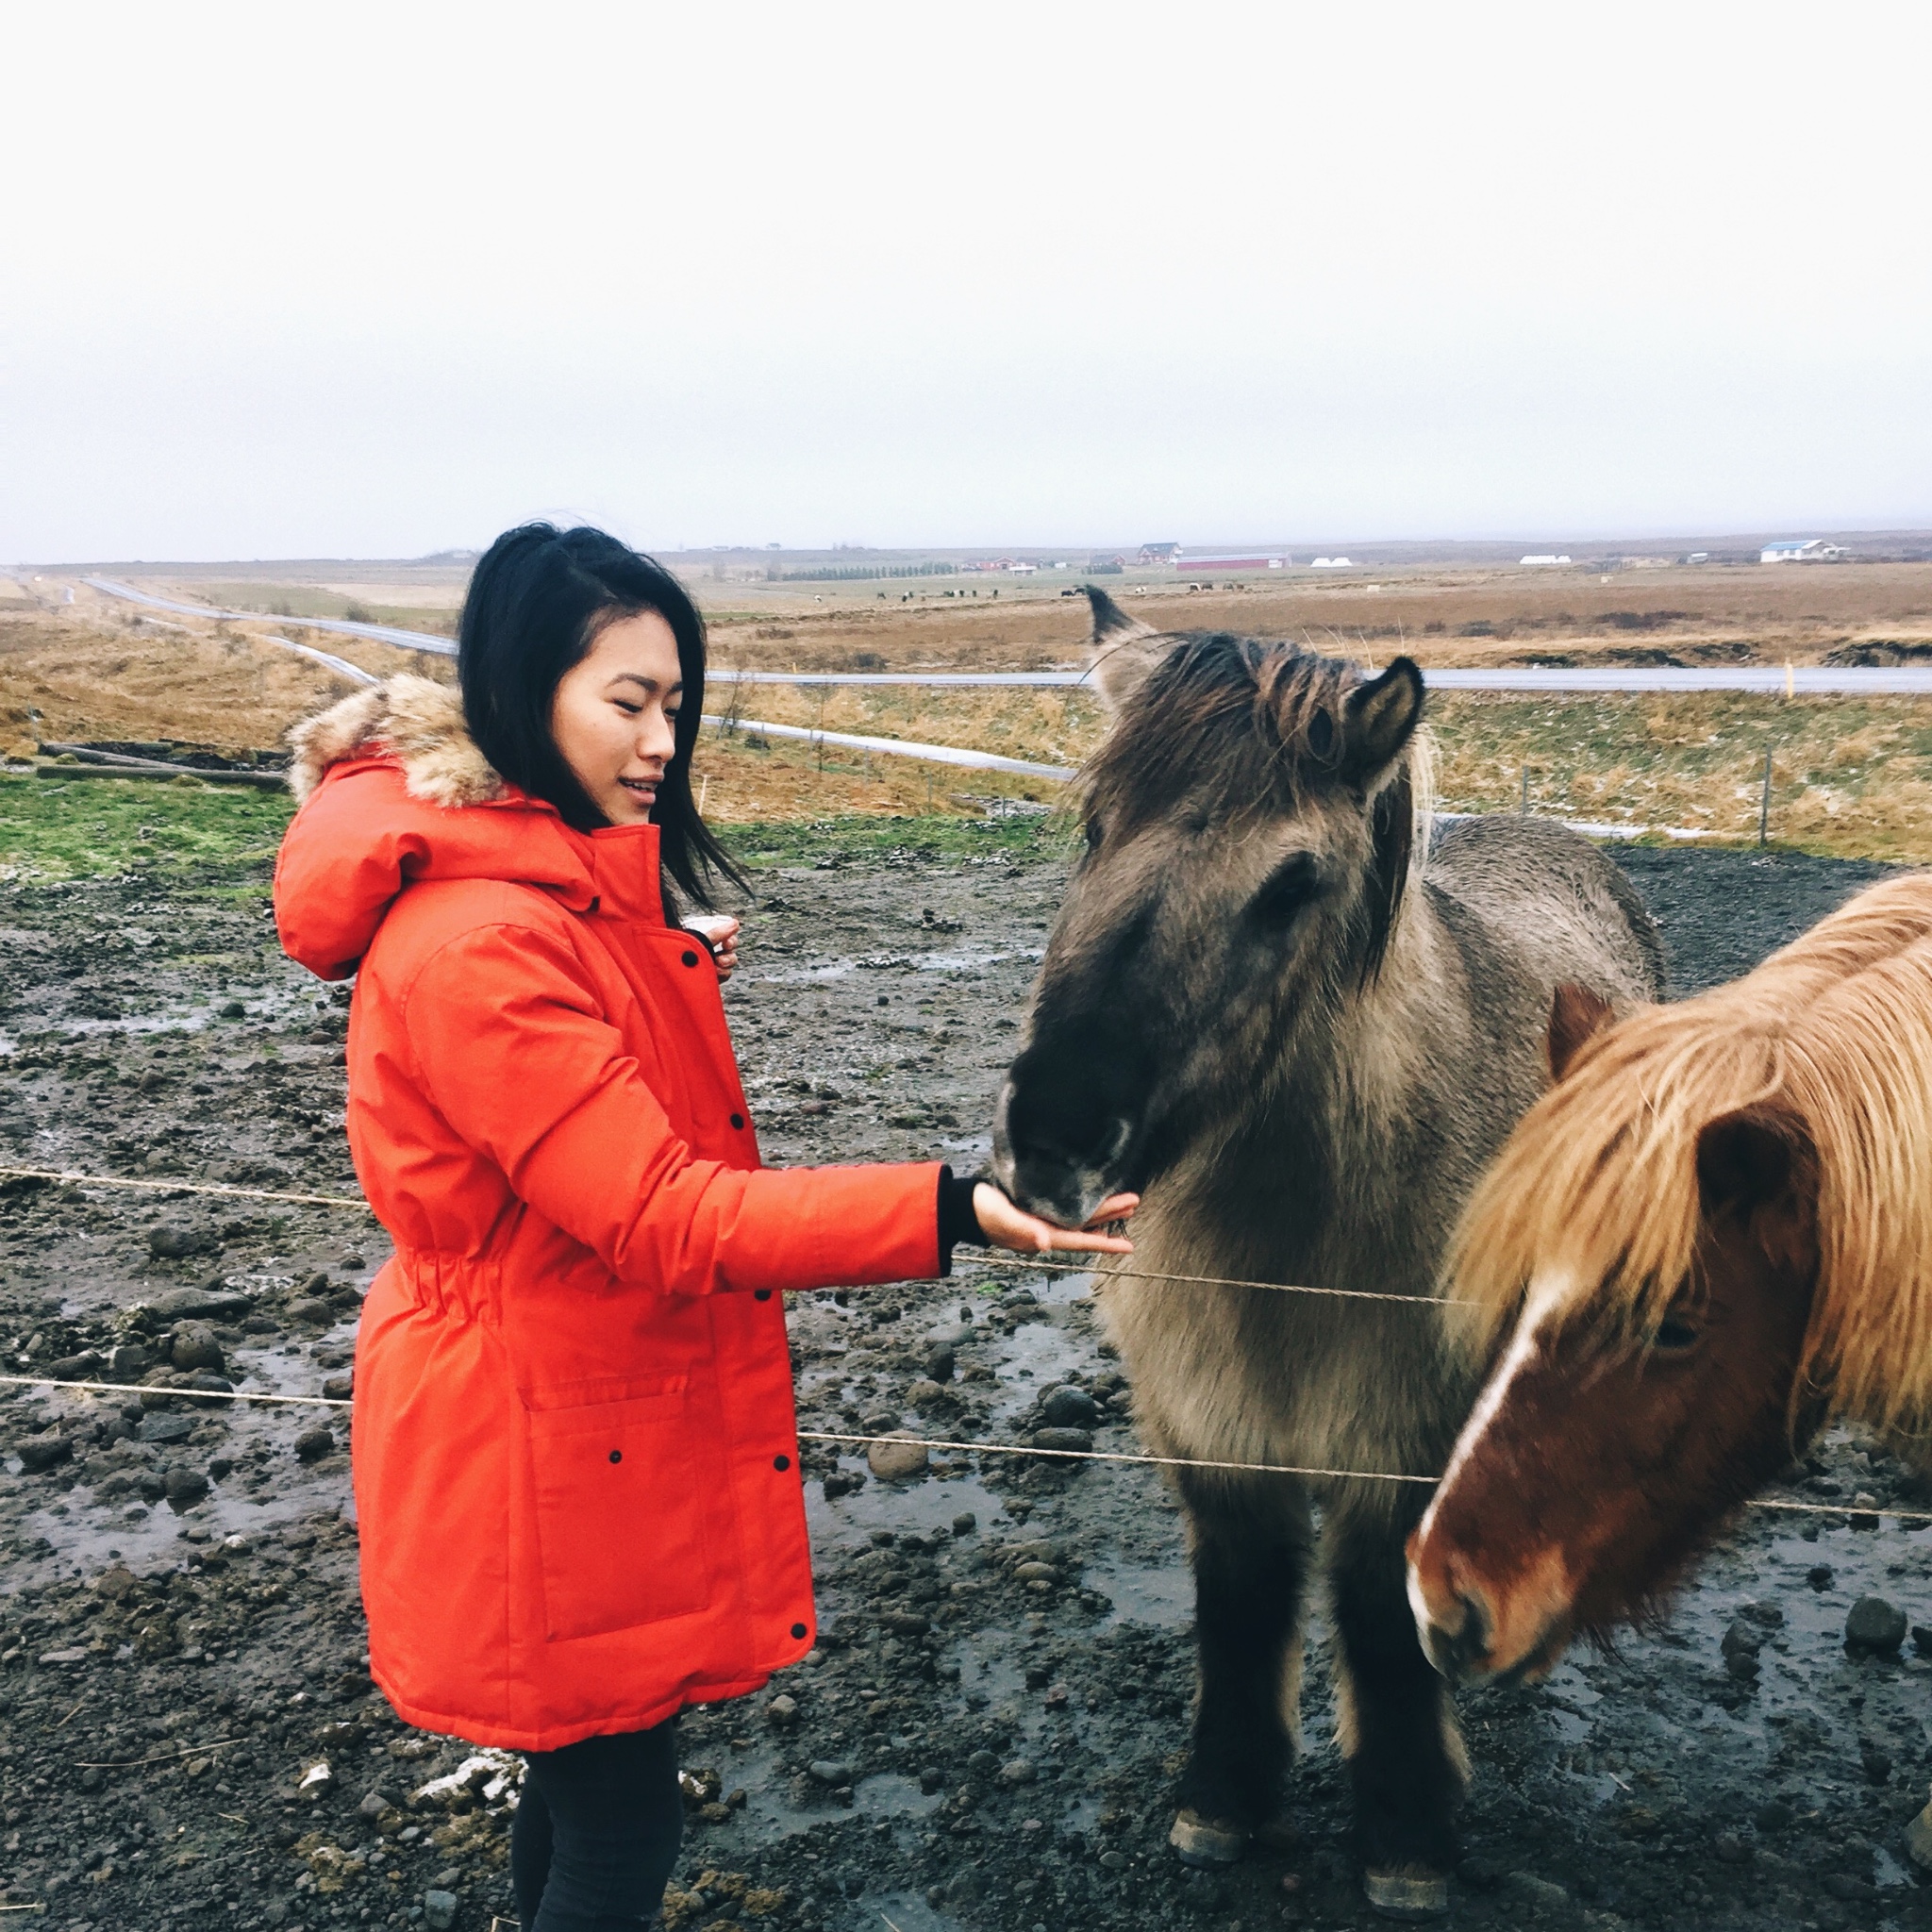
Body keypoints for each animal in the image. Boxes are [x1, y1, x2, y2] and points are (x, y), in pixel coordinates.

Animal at [996, 594, 1661, 1924]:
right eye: (1093, 828)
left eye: (1290, 883)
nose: (1052, 1136)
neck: (1285, 1250)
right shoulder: (1213, 1435)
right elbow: (1241, 1600)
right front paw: (1221, 1796)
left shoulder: (1397, 1438)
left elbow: (1375, 1620)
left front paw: (1404, 1833)